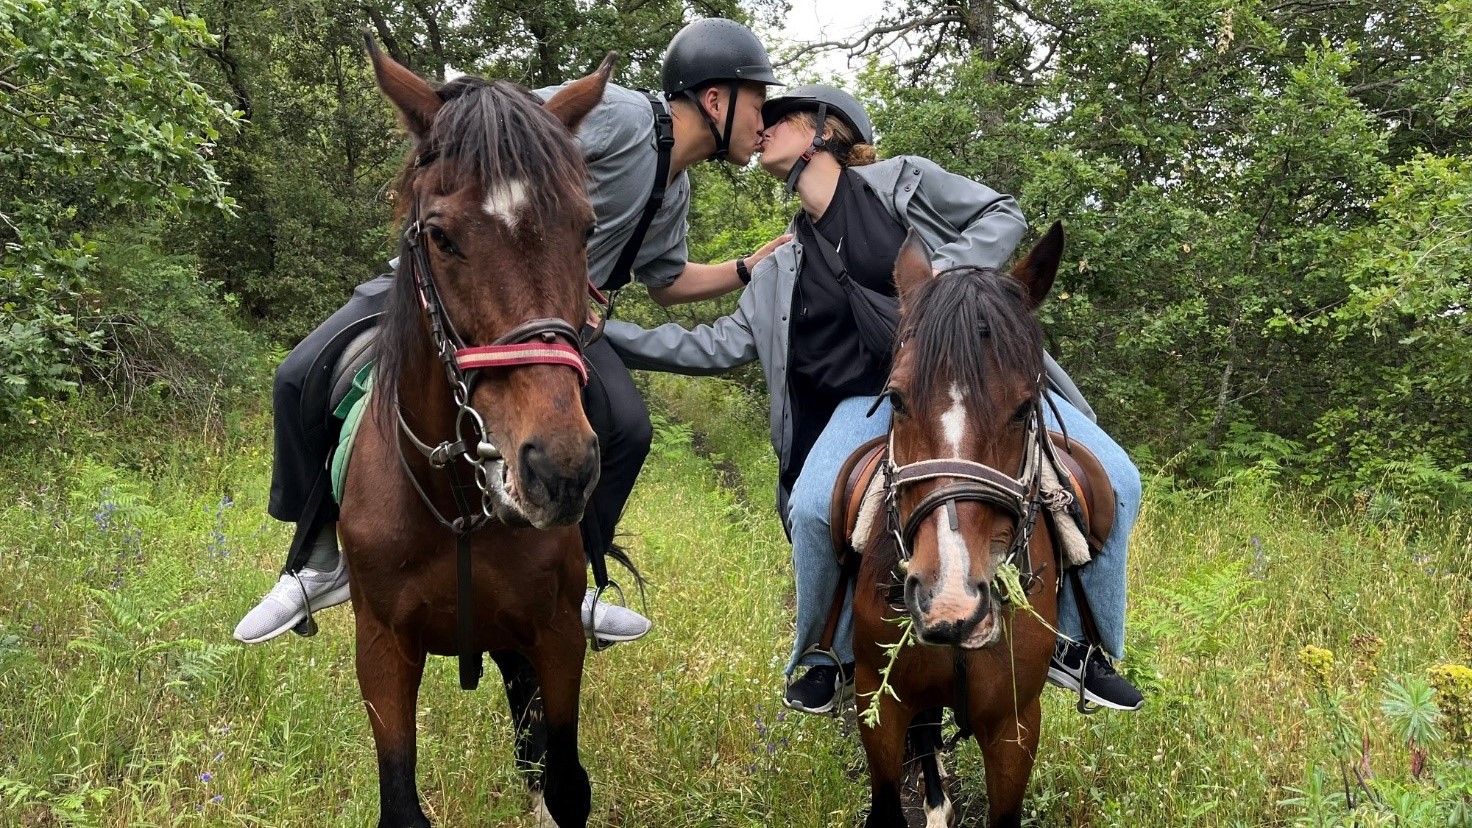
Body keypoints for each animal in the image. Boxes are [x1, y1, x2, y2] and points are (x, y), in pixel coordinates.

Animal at [337, 38, 609, 825]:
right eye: (441, 236)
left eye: (585, 228)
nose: (560, 470)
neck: (455, 501)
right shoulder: (382, 648)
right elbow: (401, 802)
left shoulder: (554, 635)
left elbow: (563, 782)